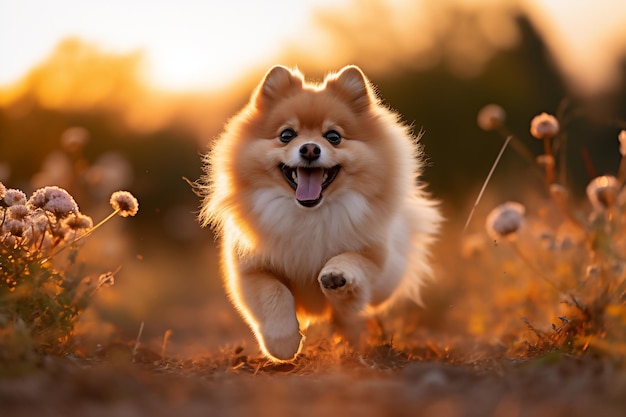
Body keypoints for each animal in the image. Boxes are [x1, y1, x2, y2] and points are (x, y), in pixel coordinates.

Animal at [199, 65, 438, 360]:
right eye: (286, 135)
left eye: (333, 137)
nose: (310, 148)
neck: (308, 215)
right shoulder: (250, 270)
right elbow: (273, 294)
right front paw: (283, 344)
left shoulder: (376, 262)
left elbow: (351, 262)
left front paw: (336, 277)